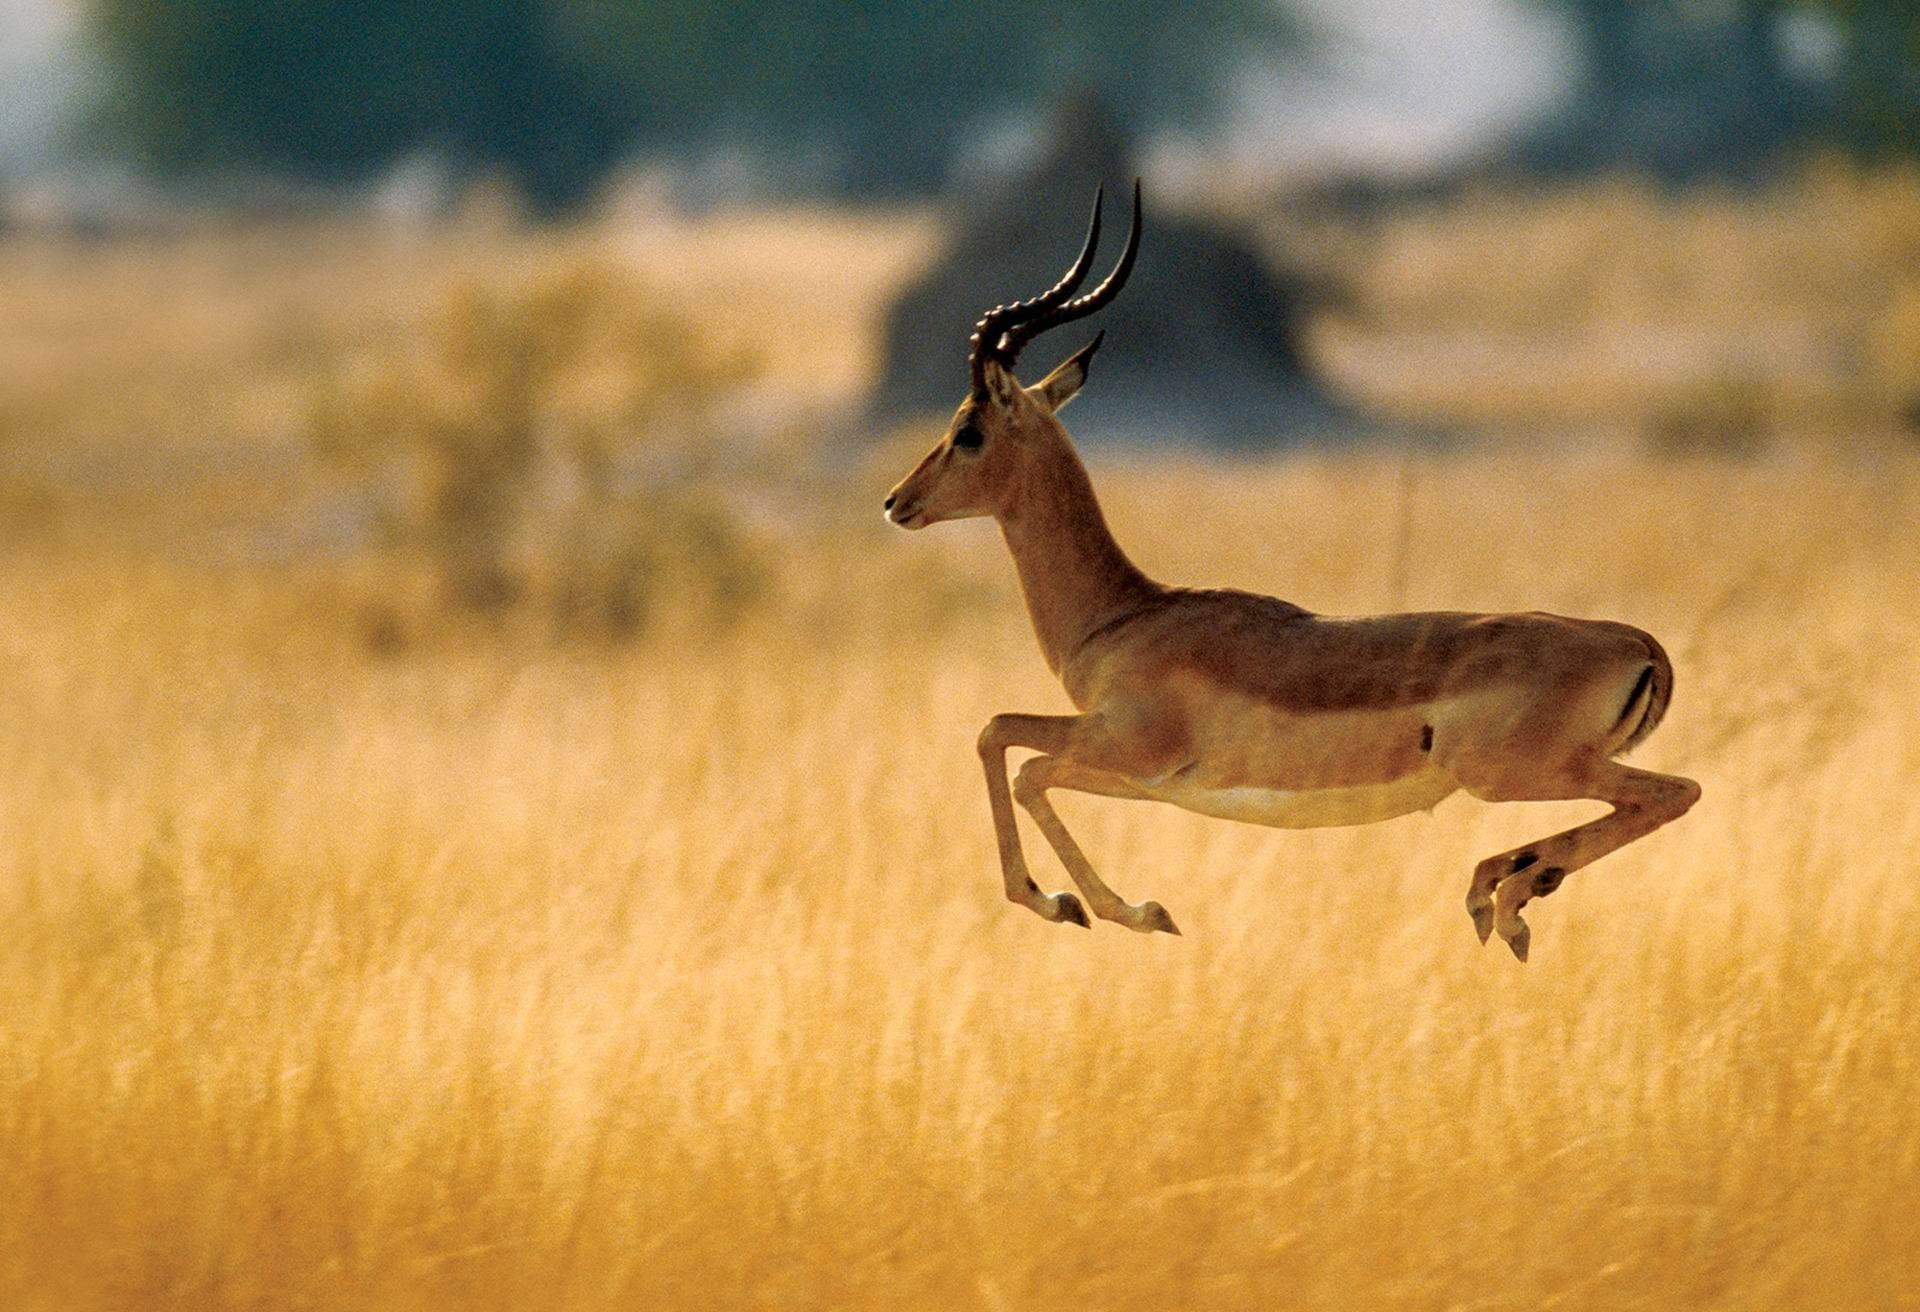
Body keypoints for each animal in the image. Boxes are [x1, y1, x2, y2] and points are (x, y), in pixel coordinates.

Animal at [883, 182, 1699, 960]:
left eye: (968, 429)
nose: (897, 502)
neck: (1126, 616)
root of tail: (1636, 643)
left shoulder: (1128, 748)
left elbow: (1005, 745)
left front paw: (1098, 908)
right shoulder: (1147, 782)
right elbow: (1013, 751)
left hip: (1518, 773)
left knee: (1675, 792)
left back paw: (1505, 897)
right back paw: (1503, 889)